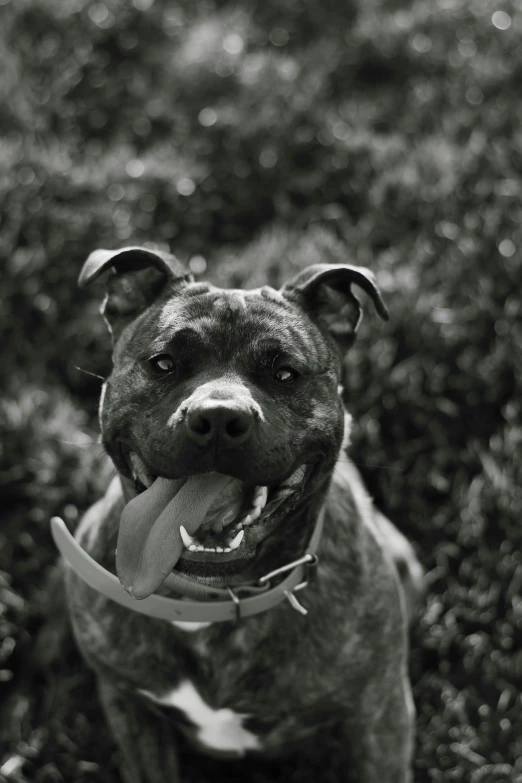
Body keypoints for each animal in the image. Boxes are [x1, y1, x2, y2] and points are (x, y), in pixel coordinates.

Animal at [58, 247, 422, 783]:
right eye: (164, 363)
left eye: (285, 374)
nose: (217, 417)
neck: (211, 601)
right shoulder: (128, 704)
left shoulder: (380, 714)